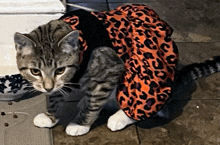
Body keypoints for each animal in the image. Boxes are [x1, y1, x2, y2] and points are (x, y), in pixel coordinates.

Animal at [13, 4, 220, 136]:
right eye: (35, 71)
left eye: (60, 70)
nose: (47, 87)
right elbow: (56, 96)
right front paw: (50, 116)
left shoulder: (110, 69)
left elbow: (93, 103)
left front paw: (80, 124)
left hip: (143, 75)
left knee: (143, 104)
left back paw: (120, 116)